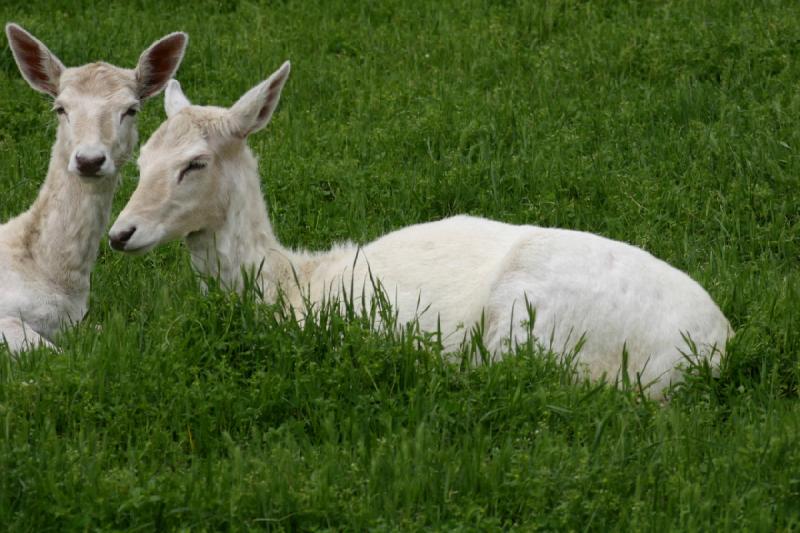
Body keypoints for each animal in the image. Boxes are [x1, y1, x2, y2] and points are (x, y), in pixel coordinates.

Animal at [109, 62, 736, 394]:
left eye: (195, 163)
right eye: (141, 159)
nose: (121, 234)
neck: (289, 285)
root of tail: (712, 349)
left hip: (532, 327)